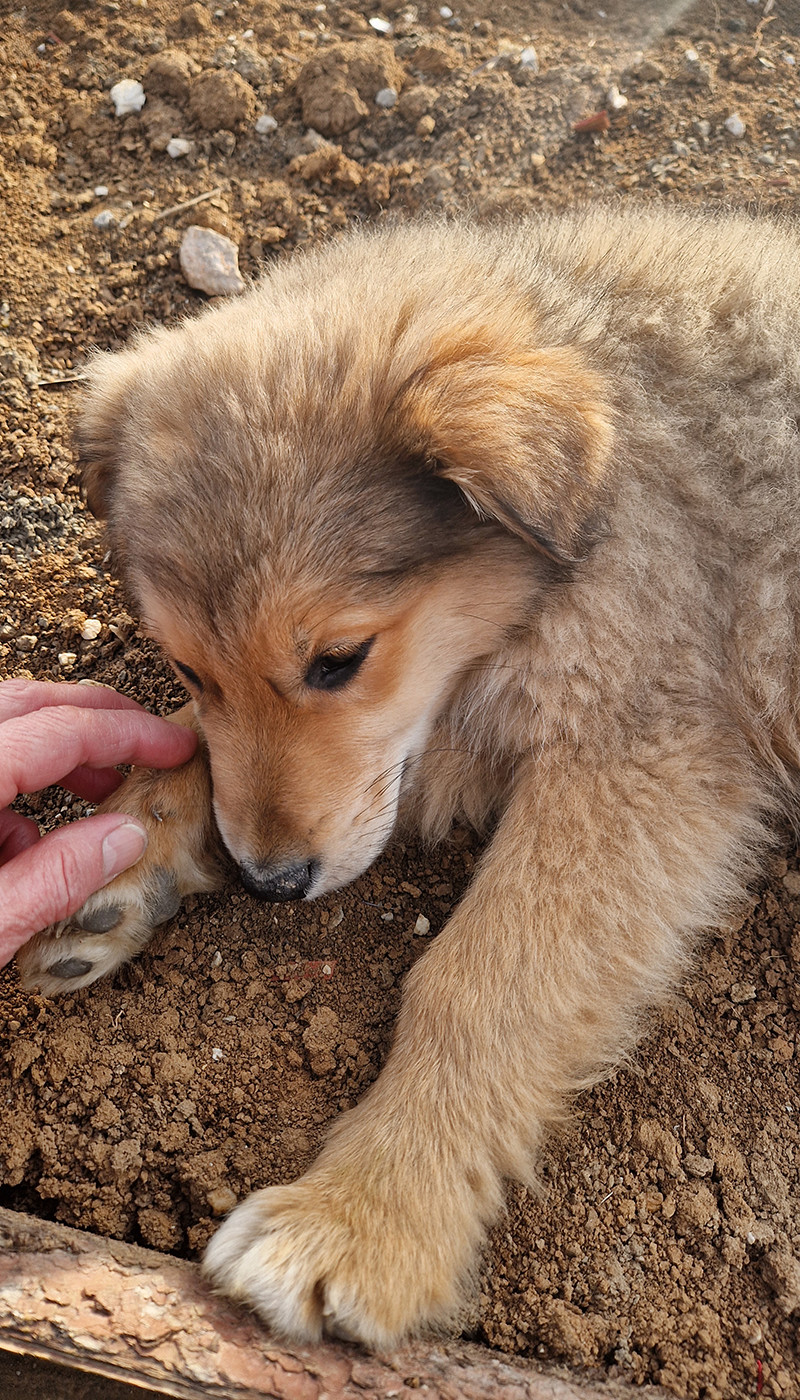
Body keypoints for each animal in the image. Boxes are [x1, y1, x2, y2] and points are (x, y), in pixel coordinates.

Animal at [18, 206, 800, 1348]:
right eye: (186, 667)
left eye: (339, 658)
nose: (268, 885)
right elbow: (191, 749)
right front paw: (116, 855)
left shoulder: (640, 749)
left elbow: (479, 984)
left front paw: (363, 1219)